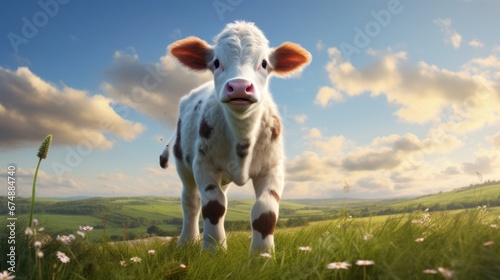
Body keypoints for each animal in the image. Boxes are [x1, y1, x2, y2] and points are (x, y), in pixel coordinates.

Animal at [160, 19, 310, 252]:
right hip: (183, 165)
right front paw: (213, 251)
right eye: (216, 62)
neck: (242, 138)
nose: (239, 87)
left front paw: (262, 254)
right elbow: (213, 206)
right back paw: (187, 241)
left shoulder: (272, 166)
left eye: (264, 63)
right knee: (191, 202)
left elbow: (265, 211)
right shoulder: (203, 164)